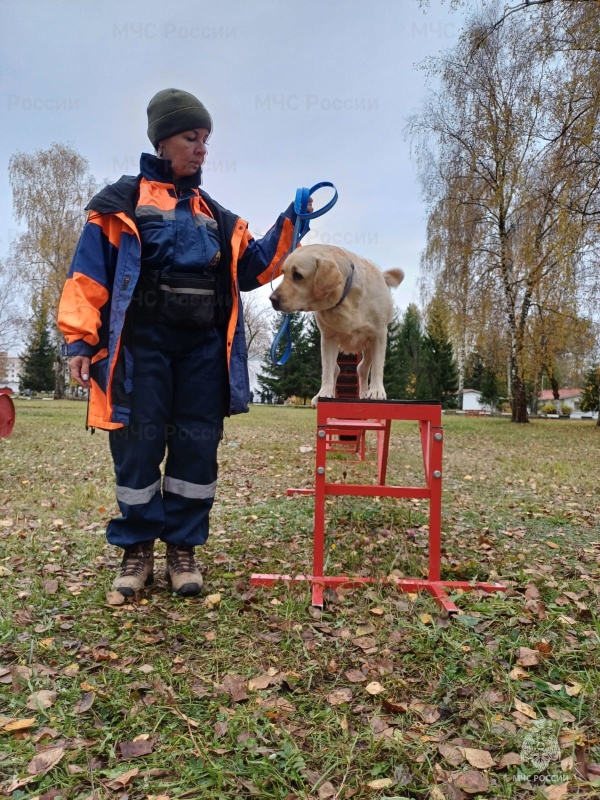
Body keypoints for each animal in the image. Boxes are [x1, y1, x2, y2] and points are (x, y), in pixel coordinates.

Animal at [270, 242, 404, 406]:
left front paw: (377, 391)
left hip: (368, 347)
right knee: (337, 370)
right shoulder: (328, 338)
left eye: (297, 275)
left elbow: (378, 366)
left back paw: (365, 393)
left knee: (362, 369)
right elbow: (327, 370)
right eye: (283, 273)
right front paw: (324, 393)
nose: (272, 299)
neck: (345, 298)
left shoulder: (379, 334)